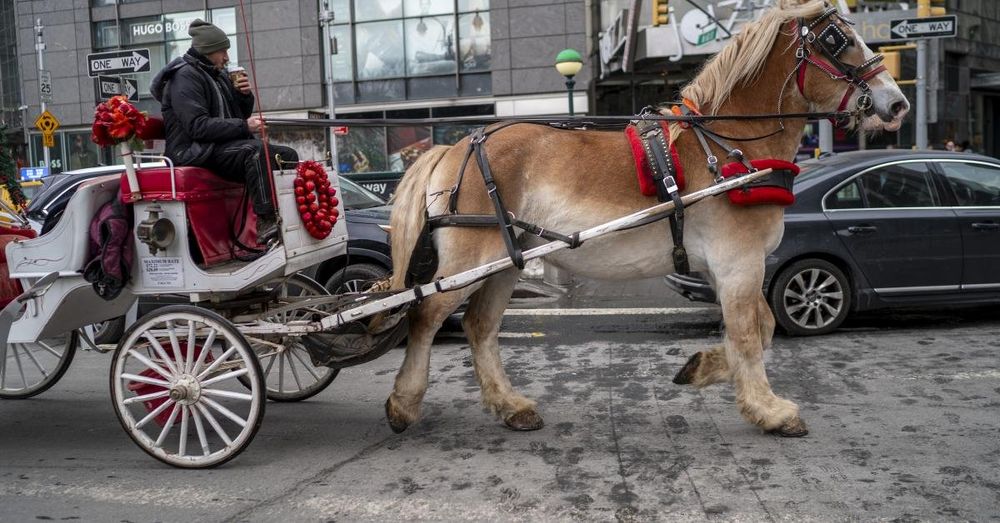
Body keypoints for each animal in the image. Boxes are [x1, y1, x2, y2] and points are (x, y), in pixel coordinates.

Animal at [384, 0, 909, 437]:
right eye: (838, 39)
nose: (898, 102)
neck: (726, 145)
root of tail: (455, 147)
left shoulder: (725, 267)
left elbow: (760, 328)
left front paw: (703, 368)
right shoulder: (739, 262)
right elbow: (748, 332)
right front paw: (770, 410)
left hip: (505, 262)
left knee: (479, 326)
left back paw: (510, 406)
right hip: (472, 259)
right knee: (426, 314)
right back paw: (404, 403)